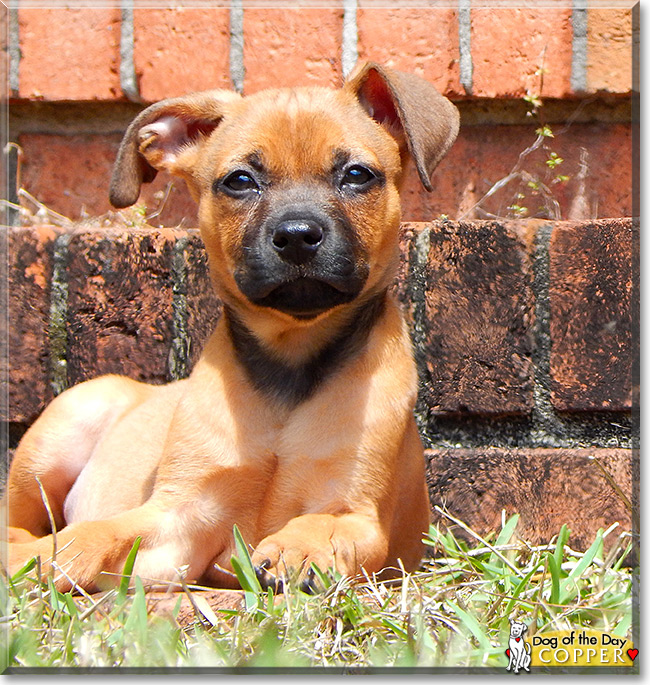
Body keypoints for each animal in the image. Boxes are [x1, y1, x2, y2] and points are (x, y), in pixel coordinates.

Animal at [2, 61, 458, 592]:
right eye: (239, 181)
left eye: (356, 175)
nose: (297, 236)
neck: (291, 357)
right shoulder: (177, 520)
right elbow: (92, 535)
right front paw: (44, 558)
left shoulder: (357, 509)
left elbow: (327, 524)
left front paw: (300, 548)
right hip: (66, 422)